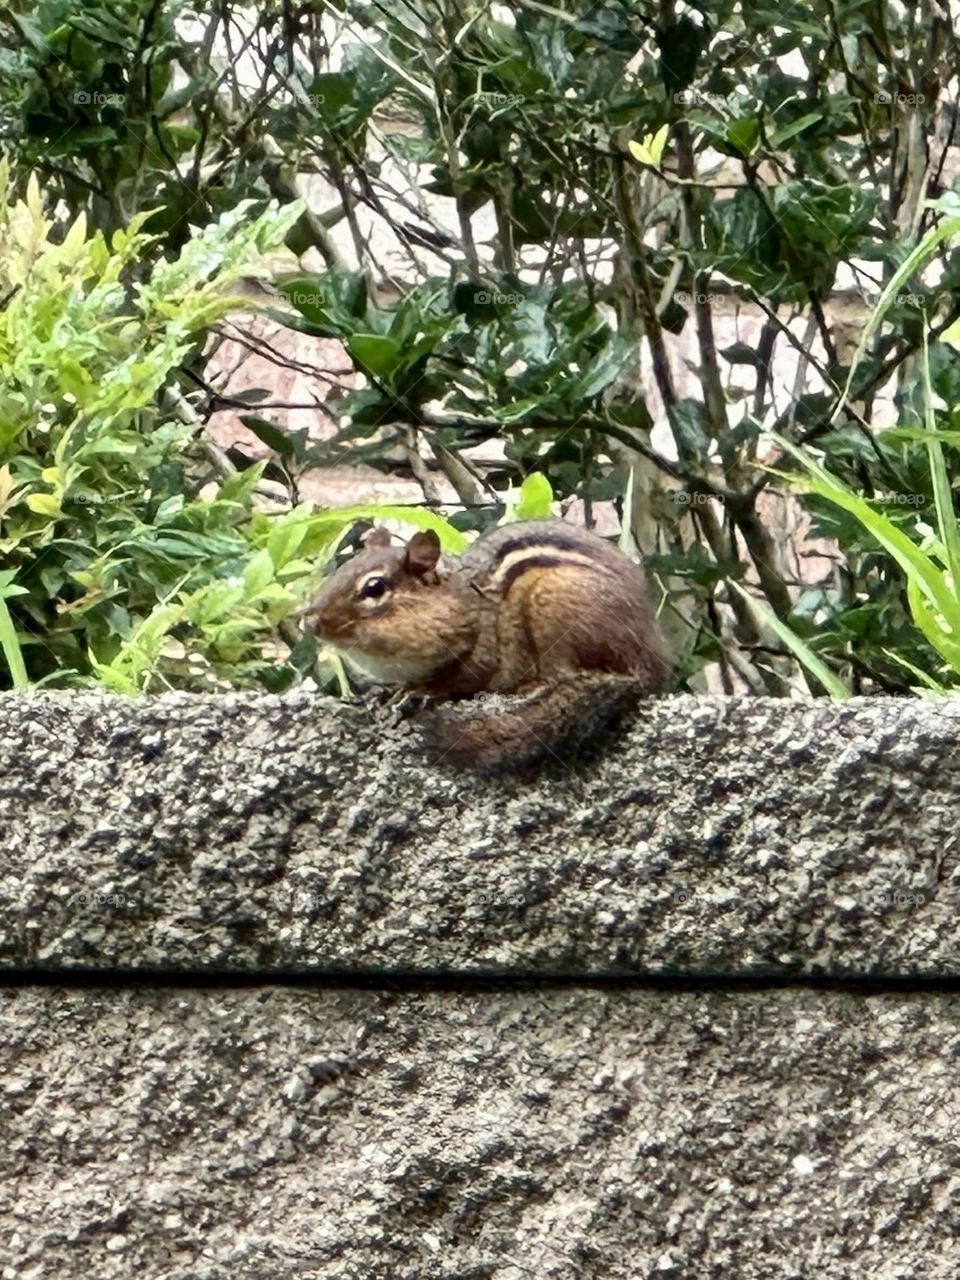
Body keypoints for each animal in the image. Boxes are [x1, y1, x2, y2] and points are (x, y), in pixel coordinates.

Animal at [300, 518, 669, 771]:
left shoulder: (485, 649)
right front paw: (389, 690)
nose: (309, 620)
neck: (463, 601)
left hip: (554, 603)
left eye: (374, 588)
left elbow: (461, 678)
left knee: (568, 673)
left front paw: (421, 690)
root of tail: (653, 662)